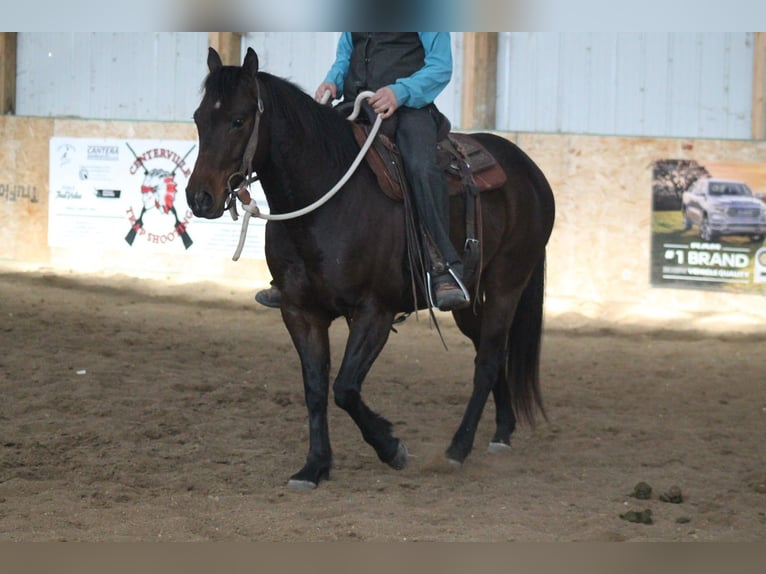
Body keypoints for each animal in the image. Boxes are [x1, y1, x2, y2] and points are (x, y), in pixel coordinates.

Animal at [186, 47, 556, 489]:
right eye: (199, 117)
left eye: (239, 120)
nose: (199, 198)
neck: (325, 202)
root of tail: (529, 169)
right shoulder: (300, 312)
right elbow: (315, 388)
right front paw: (314, 466)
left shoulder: (374, 312)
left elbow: (345, 387)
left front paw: (391, 447)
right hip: (468, 297)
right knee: (490, 349)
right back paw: (501, 432)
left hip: (506, 283)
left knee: (486, 361)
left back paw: (457, 448)